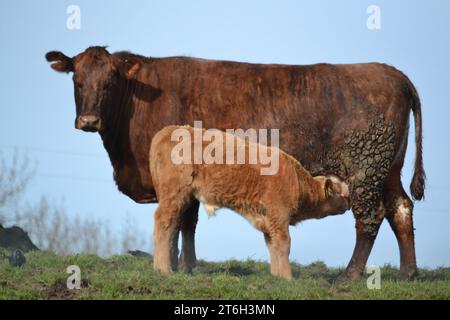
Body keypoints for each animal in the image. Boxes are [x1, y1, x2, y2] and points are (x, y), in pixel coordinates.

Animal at [149, 126, 350, 278]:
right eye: (343, 193)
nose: (349, 204)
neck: (297, 180)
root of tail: (167, 131)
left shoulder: (268, 220)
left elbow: (272, 246)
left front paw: (277, 275)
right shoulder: (279, 216)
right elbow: (284, 245)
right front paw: (288, 277)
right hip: (175, 195)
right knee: (163, 221)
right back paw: (164, 269)